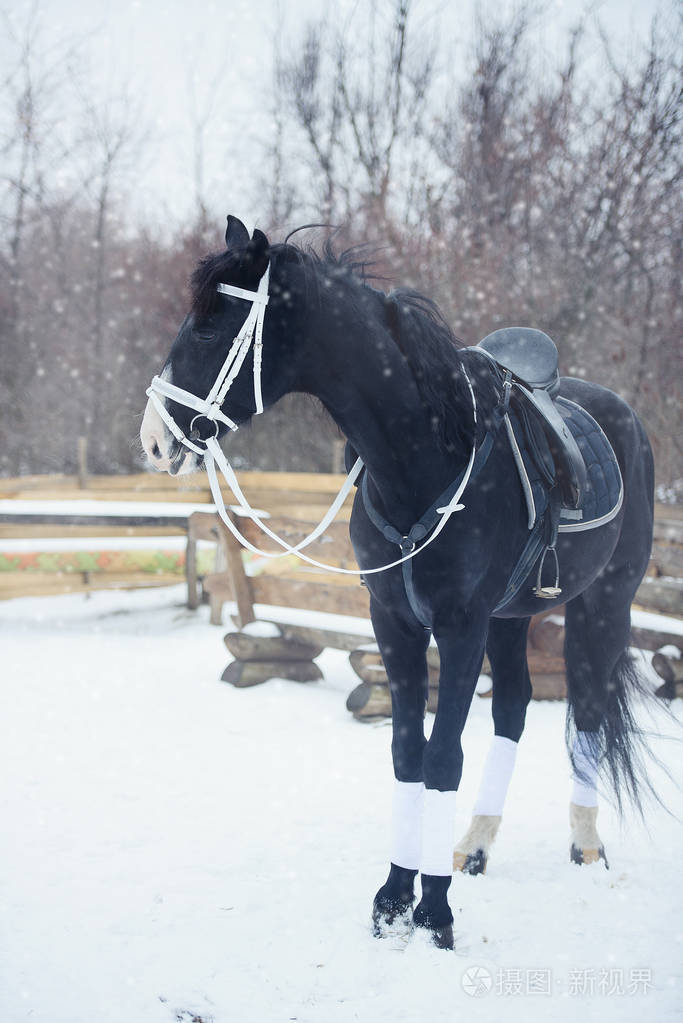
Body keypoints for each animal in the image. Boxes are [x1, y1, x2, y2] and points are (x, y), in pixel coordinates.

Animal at [140, 213, 654, 949]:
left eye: (212, 328)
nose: (154, 440)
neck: (425, 453)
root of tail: (621, 415)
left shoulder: (459, 628)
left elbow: (442, 758)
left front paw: (434, 913)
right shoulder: (396, 621)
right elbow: (407, 752)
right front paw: (392, 897)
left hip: (602, 603)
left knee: (583, 705)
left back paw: (584, 843)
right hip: (513, 618)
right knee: (515, 708)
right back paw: (475, 844)